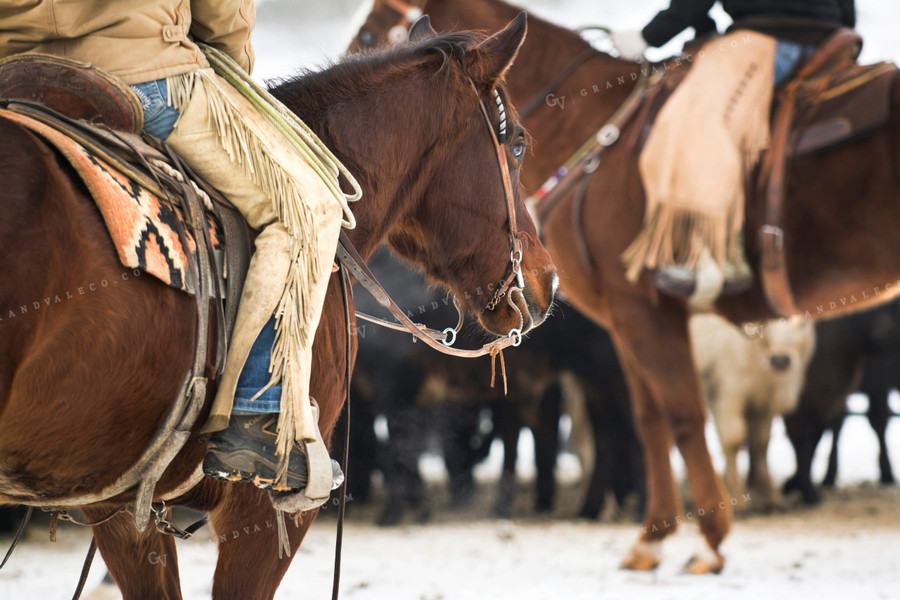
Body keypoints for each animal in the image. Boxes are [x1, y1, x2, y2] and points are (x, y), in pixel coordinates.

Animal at [356, 0, 900, 576]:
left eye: (368, 35)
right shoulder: (626, 323)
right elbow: (650, 420)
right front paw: (654, 537)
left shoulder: (645, 312)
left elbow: (683, 416)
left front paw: (710, 541)